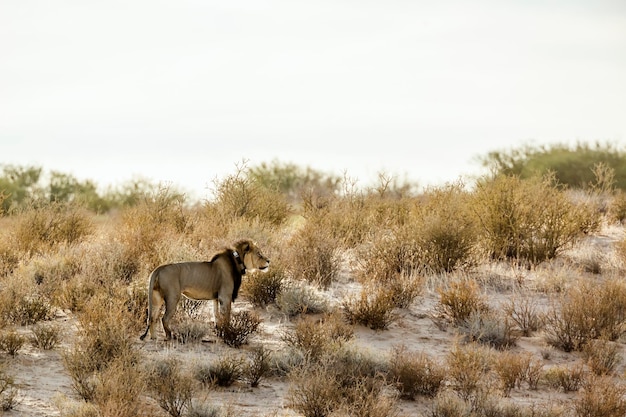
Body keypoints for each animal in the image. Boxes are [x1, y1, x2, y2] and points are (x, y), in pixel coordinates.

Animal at [139, 239, 268, 340]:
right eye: (259, 254)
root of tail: (158, 269)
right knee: (164, 318)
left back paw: (154, 338)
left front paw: (219, 332)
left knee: (152, 318)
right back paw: (170, 337)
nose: (269, 261)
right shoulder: (225, 296)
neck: (237, 261)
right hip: (172, 297)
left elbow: (217, 316)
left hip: (156, 298)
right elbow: (226, 318)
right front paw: (228, 334)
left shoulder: (216, 298)